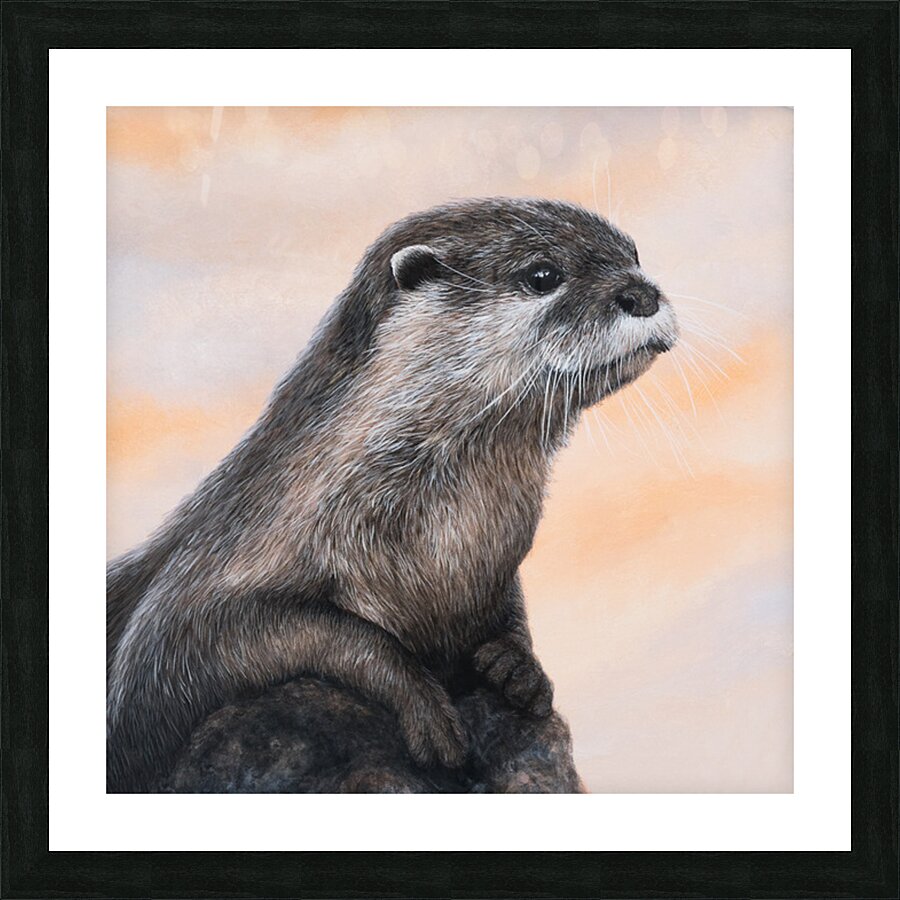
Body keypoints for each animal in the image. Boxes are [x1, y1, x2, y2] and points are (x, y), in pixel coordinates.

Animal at [107, 197, 678, 792]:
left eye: (634, 255)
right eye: (543, 275)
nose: (642, 293)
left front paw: (518, 668)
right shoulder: (188, 615)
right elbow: (325, 634)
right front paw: (426, 707)